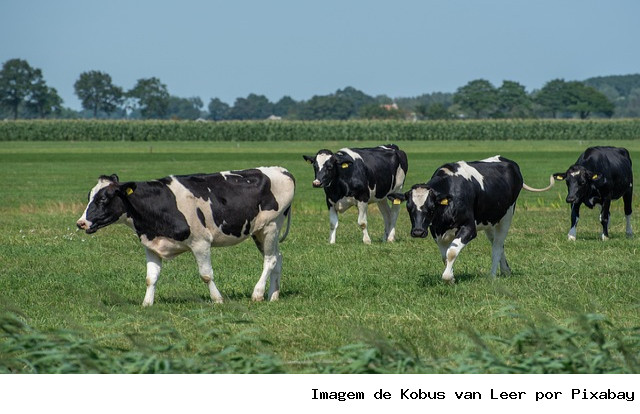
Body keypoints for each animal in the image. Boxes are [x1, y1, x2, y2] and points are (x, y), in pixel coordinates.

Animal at [76, 167, 295, 306]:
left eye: (103, 199)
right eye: (89, 197)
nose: (81, 222)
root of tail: (282, 170)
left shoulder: (201, 243)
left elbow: (206, 275)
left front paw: (218, 300)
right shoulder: (150, 245)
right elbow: (150, 277)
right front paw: (147, 303)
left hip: (271, 226)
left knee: (270, 259)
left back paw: (257, 294)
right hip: (259, 232)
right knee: (279, 258)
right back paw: (273, 295)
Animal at [388, 155, 554, 284]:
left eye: (431, 207)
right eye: (409, 207)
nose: (417, 232)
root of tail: (507, 161)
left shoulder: (468, 228)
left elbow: (451, 252)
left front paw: (448, 278)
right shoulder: (436, 231)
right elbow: (445, 256)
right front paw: (452, 277)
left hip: (506, 217)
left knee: (497, 246)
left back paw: (492, 276)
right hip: (490, 221)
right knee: (498, 244)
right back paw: (506, 271)